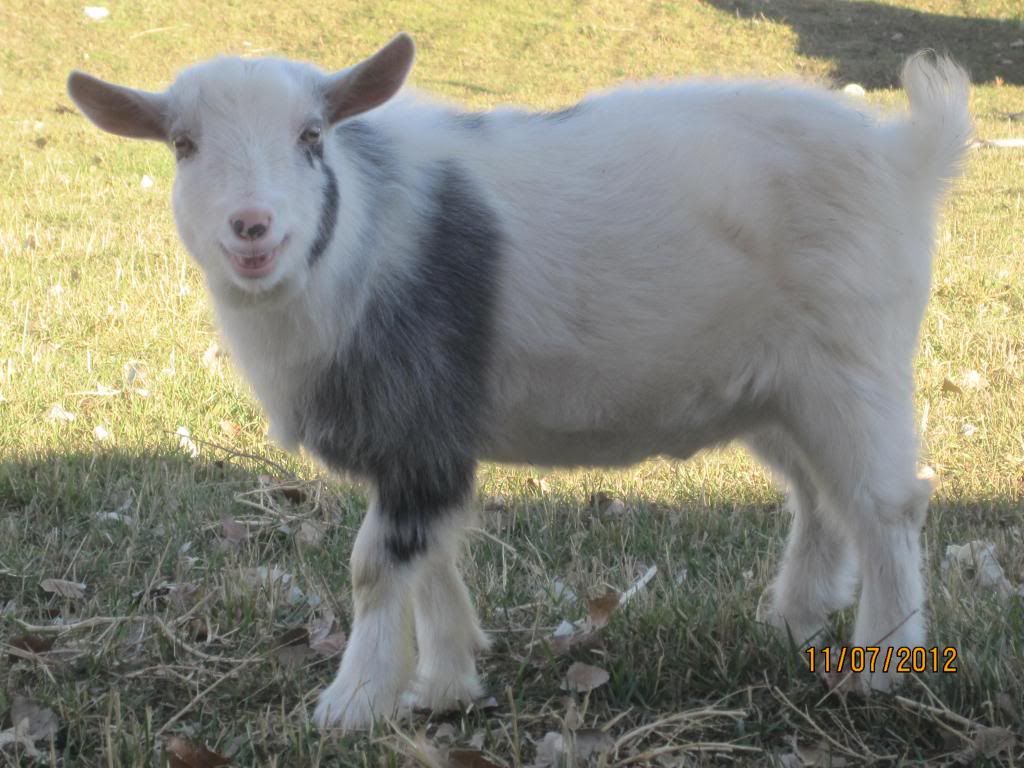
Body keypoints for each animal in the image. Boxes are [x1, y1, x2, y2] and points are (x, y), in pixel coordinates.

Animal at [67, 34, 971, 730]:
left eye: (312, 135)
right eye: (183, 145)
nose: (252, 228)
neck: (354, 245)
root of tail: (906, 156)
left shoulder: (419, 418)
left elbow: (376, 565)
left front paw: (350, 705)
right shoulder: (426, 438)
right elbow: (430, 554)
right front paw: (444, 683)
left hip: (851, 365)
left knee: (888, 506)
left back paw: (882, 667)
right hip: (776, 392)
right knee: (819, 499)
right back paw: (794, 618)